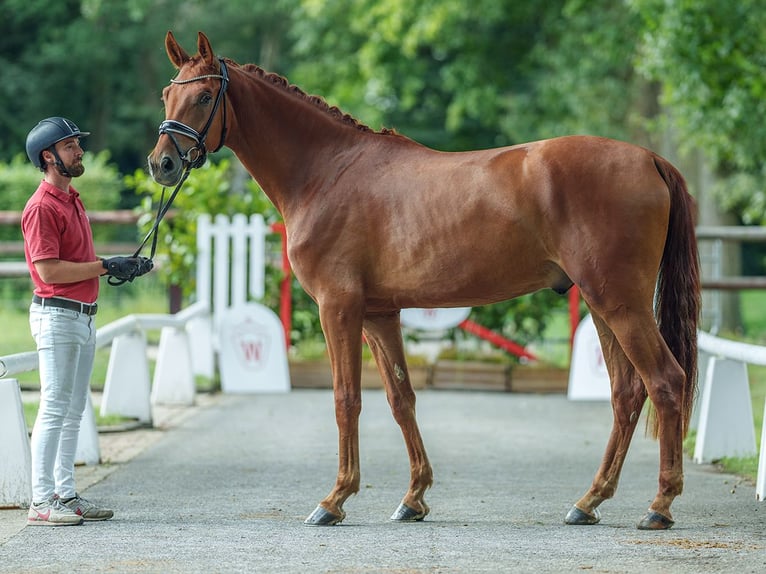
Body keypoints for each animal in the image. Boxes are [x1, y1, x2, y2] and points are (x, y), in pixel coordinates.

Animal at [148, 32, 704, 532]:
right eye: (166, 95)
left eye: (204, 96)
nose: (162, 164)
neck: (326, 172)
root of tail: (649, 159)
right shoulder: (378, 314)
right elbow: (401, 398)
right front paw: (413, 498)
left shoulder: (338, 308)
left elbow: (346, 398)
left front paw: (334, 500)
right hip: (601, 303)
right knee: (626, 393)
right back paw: (589, 501)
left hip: (620, 303)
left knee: (665, 381)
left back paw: (659, 505)